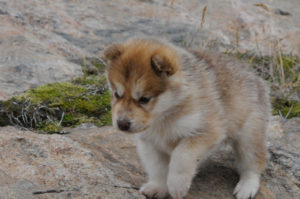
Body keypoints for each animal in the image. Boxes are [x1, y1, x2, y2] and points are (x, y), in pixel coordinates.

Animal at [103, 38, 270, 199]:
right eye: (116, 94)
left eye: (144, 99)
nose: (122, 124)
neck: (164, 116)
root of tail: (255, 76)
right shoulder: (149, 143)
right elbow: (157, 168)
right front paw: (158, 187)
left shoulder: (206, 131)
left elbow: (181, 156)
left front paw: (177, 186)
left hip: (250, 136)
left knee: (253, 164)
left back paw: (246, 187)